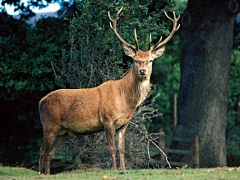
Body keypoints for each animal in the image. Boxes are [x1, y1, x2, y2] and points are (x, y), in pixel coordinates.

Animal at [38, 6, 180, 174]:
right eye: (135, 60)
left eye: (150, 60)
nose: (143, 71)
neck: (125, 100)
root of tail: (40, 102)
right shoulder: (107, 119)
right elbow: (112, 148)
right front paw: (114, 169)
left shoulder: (123, 123)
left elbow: (122, 149)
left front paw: (123, 169)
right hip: (49, 124)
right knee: (43, 150)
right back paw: (40, 173)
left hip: (62, 131)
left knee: (49, 153)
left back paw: (46, 174)